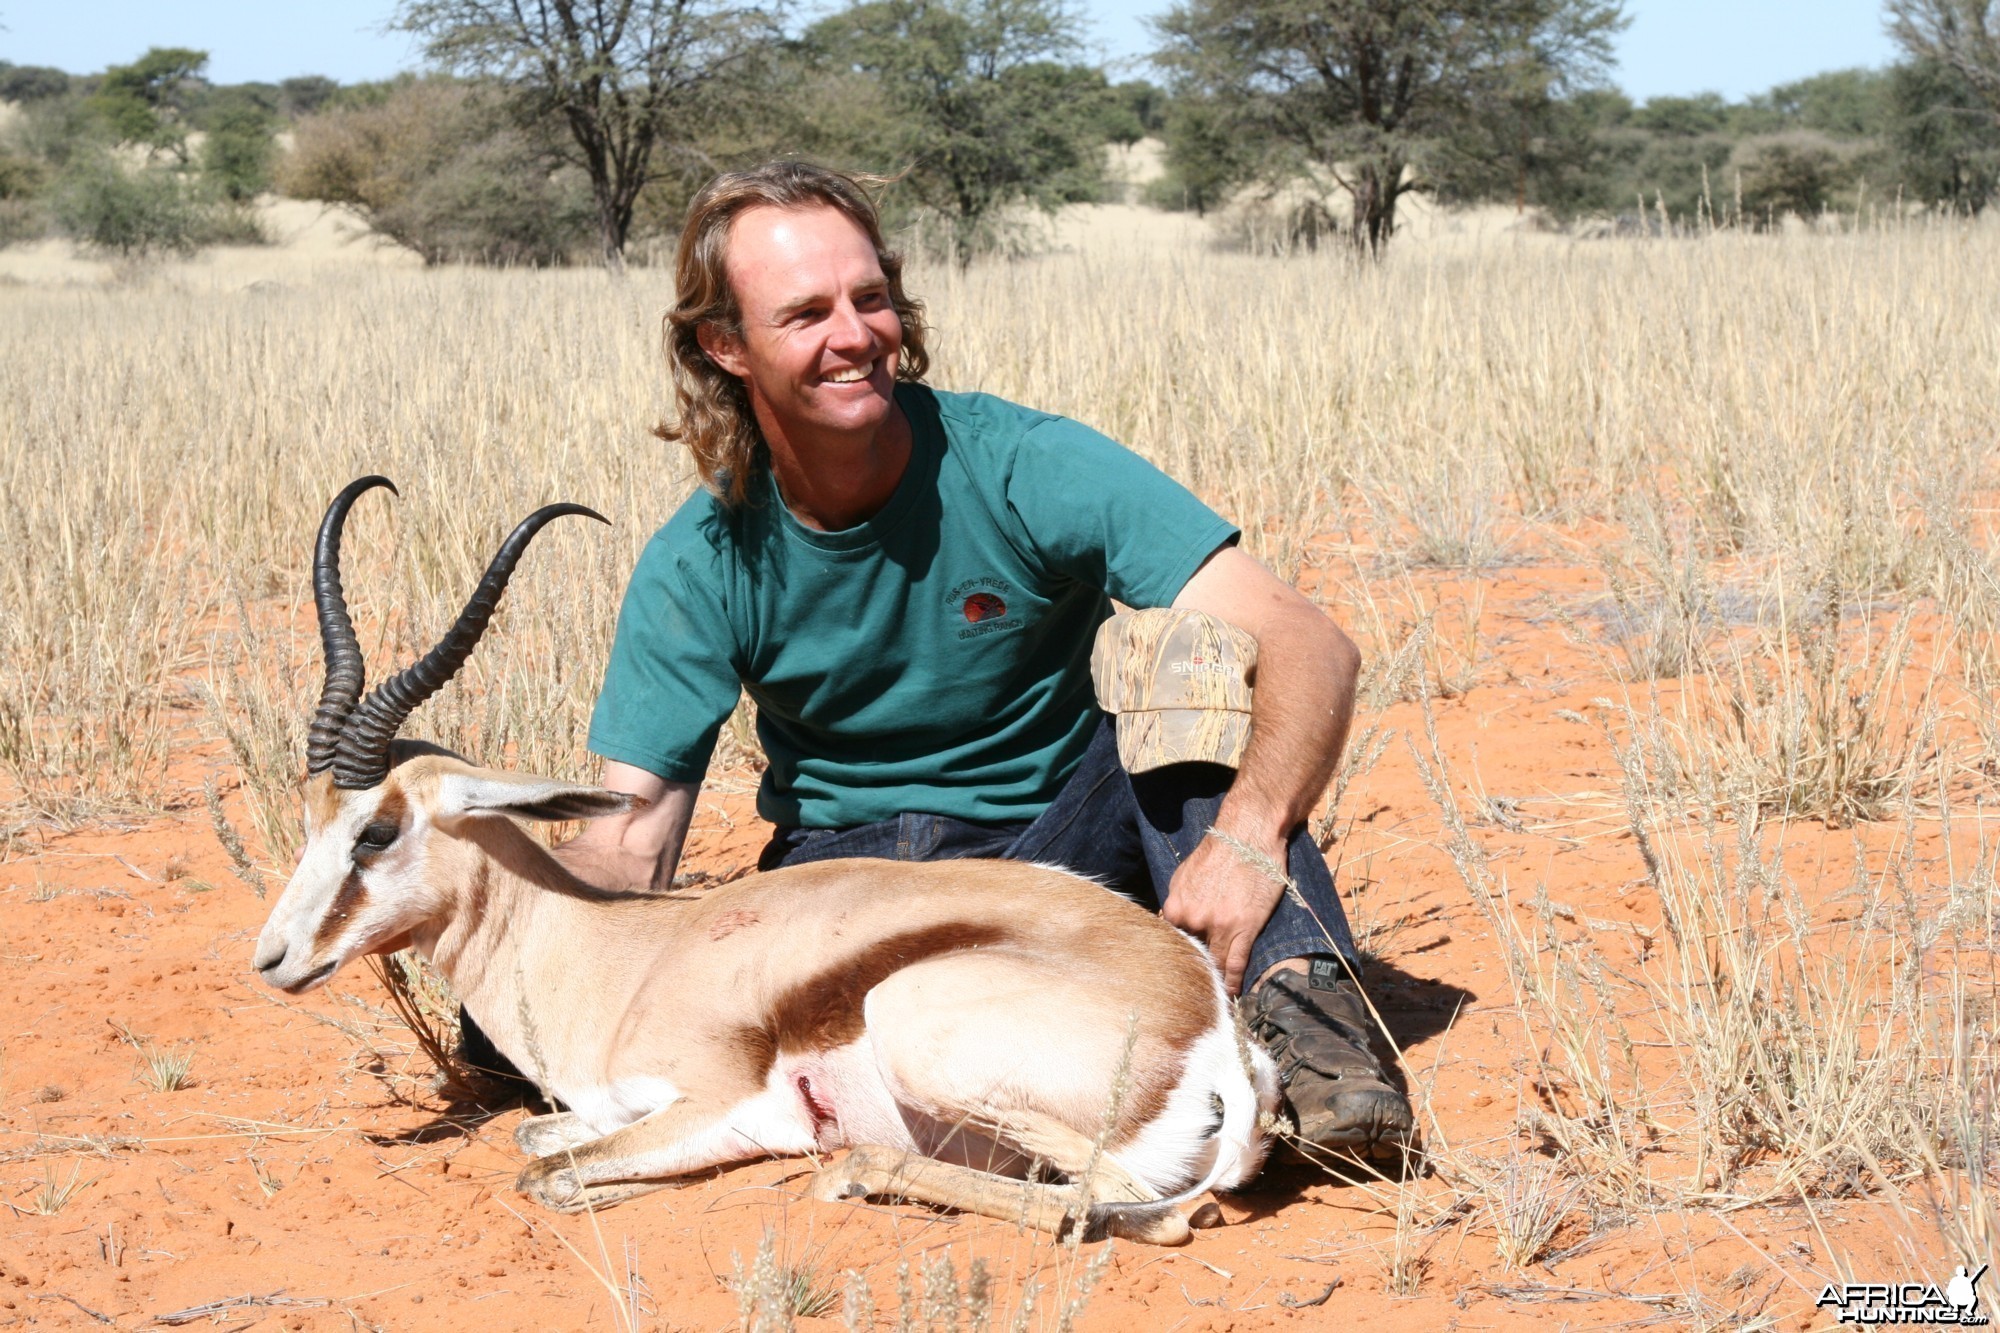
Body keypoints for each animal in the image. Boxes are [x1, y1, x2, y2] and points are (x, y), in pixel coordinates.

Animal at [254, 474, 1280, 1232]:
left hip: (918, 1025)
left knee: (1138, 1208)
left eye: (376, 829)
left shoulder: (718, 1103)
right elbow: (534, 1146)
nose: (272, 958)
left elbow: (548, 1176)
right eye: (308, 819)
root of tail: (1210, 1026)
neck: (609, 953)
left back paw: (851, 1170)